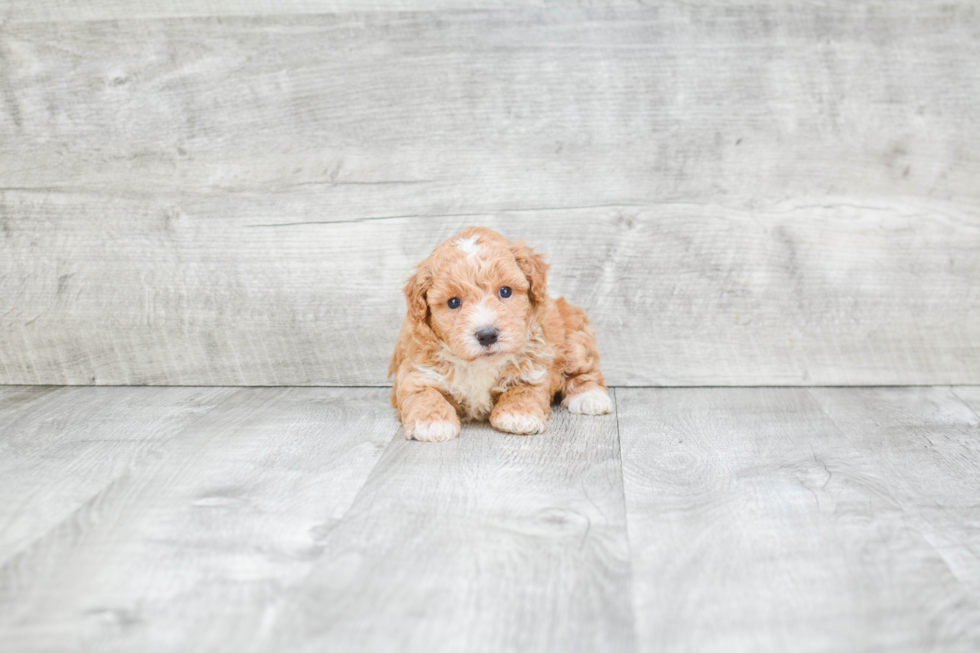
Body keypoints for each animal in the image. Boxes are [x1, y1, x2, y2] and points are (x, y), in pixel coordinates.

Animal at [386, 225, 608, 444]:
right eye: (453, 302)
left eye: (505, 291)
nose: (487, 335)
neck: (480, 364)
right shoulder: (417, 371)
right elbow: (423, 394)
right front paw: (432, 423)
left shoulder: (533, 369)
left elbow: (523, 390)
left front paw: (518, 416)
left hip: (574, 337)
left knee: (584, 370)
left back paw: (590, 396)